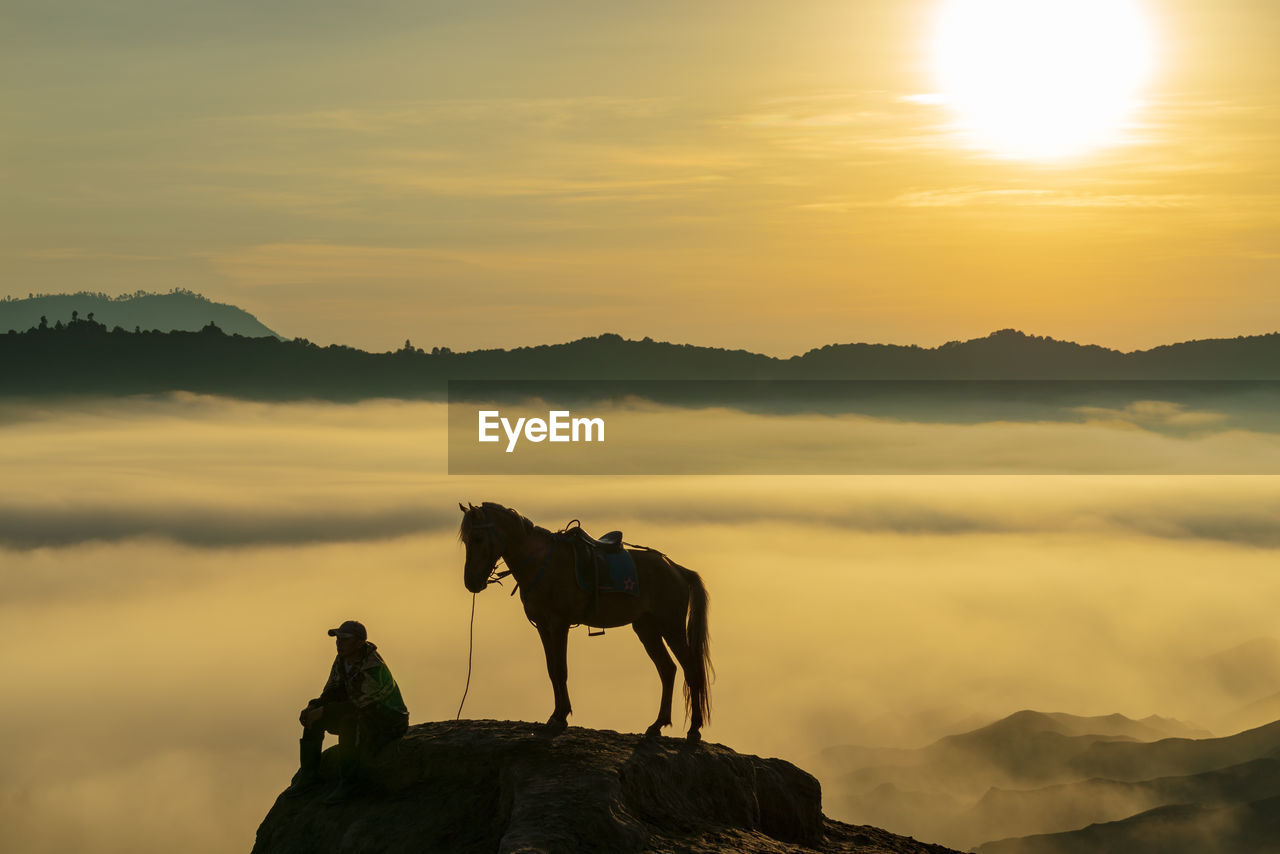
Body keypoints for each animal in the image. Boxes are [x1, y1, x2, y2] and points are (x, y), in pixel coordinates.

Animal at [458, 501, 711, 742]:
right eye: (465, 540)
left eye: (478, 538)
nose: (471, 582)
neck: (541, 562)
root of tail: (675, 568)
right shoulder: (543, 626)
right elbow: (552, 670)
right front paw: (555, 714)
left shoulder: (559, 624)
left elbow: (561, 669)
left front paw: (560, 717)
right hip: (647, 629)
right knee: (667, 669)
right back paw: (657, 725)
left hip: (671, 627)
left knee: (691, 670)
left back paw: (694, 729)